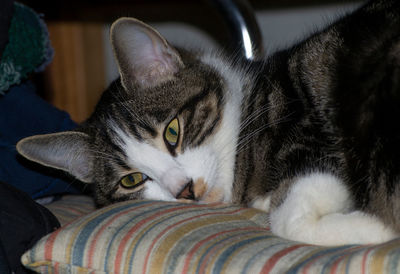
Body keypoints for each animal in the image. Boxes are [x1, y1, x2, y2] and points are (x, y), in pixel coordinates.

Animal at [17, 0, 400, 245]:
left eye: (172, 131)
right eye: (131, 180)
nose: (186, 190)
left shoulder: (311, 131)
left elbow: (288, 217)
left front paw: (377, 228)